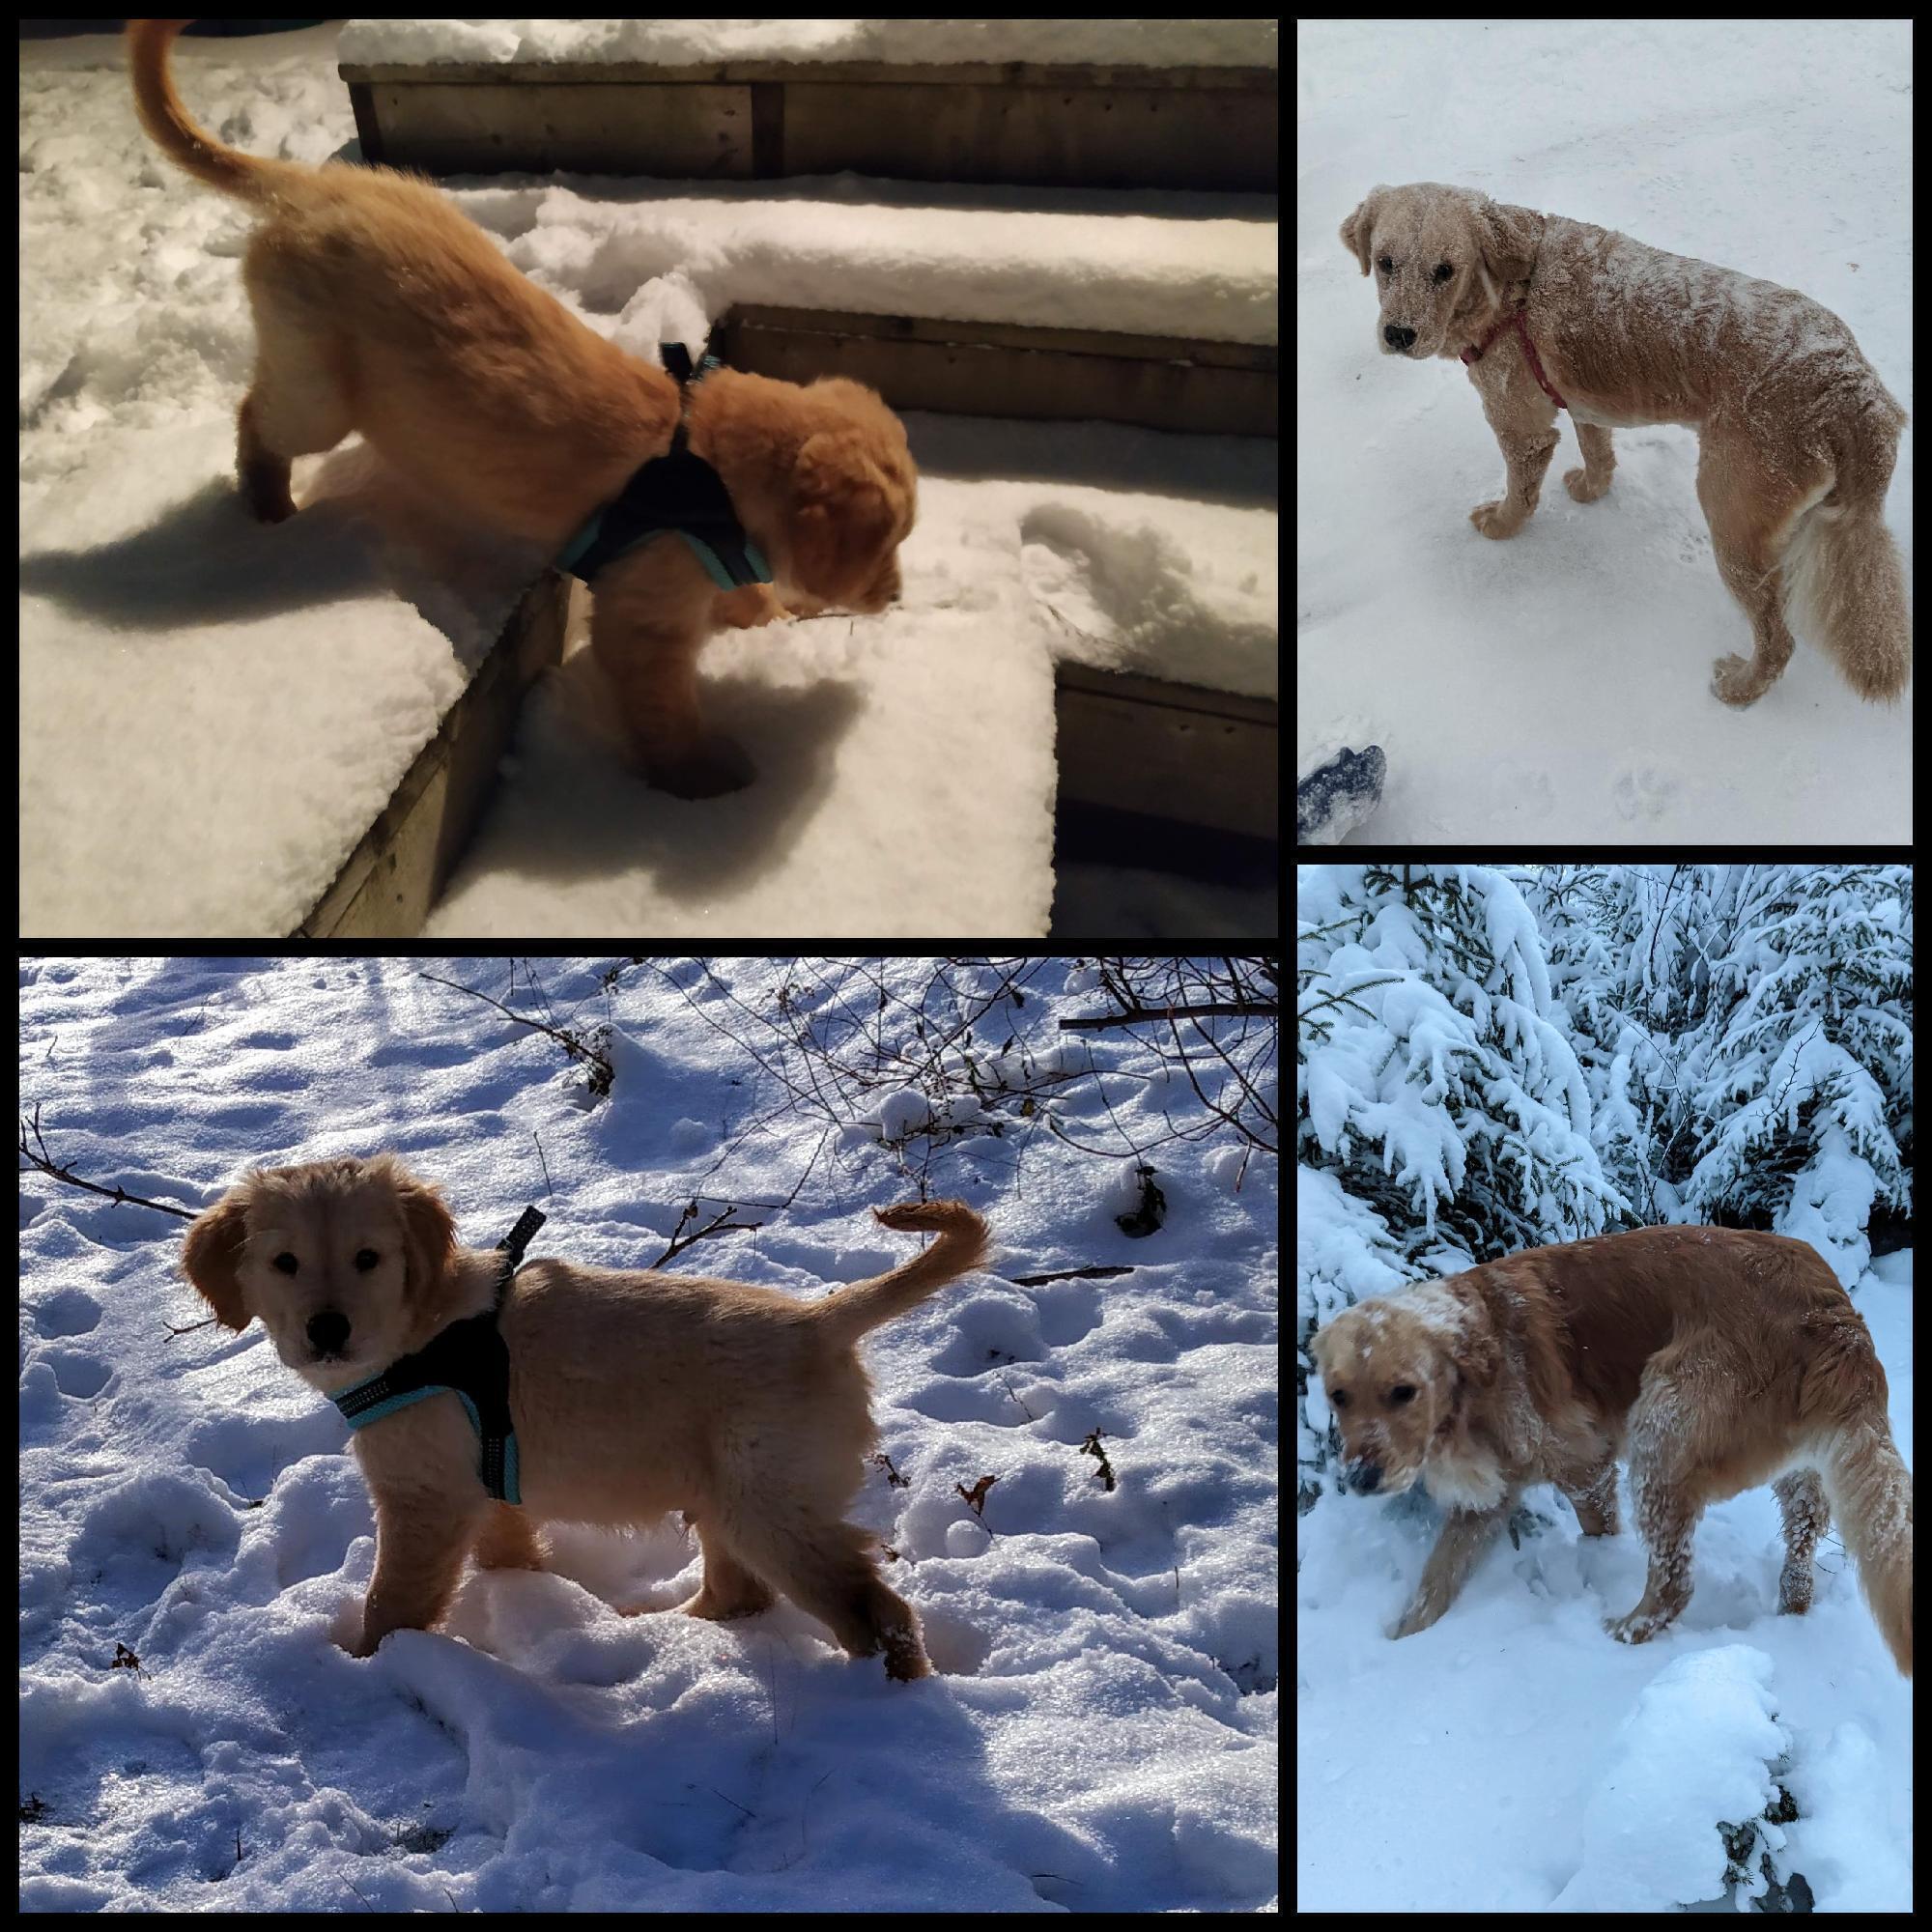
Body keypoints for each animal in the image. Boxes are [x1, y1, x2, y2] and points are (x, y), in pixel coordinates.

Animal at [127, 18, 912, 800]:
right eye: (888, 544)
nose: (898, 598)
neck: (708, 464)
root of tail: (314, 188)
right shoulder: (644, 617)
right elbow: (663, 707)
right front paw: (703, 781)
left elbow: (743, 590)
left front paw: (765, 615)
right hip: (315, 387)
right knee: (256, 422)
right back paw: (270, 512)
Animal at [180, 1151, 989, 1685]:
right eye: (285, 1263)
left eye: (368, 1258)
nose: (327, 1329)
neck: (422, 1333)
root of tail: (820, 1322)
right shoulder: (482, 1484)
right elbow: (506, 1548)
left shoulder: (422, 1499)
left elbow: (394, 1599)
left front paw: (366, 1667)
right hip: (726, 1494)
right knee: (741, 1594)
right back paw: (658, 1626)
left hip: (772, 1502)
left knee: (872, 1611)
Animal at [1314, 1229, 1917, 1669]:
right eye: (1337, 1396)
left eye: (1403, 1392)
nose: (1360, 1479)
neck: (1479, 1366)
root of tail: (1834, 1320)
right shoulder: (1484, 1504)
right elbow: (1433, 1585)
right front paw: (1402, 1644)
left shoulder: (1587, 1467)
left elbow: (1596, 1525)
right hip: (1796, 1472)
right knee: (1801, 1543)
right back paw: (1791, 1609)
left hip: (1661, 1430)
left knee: (1675, 1583)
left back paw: (1622, 1634)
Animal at [1337, 180, 1909, 711]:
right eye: (1386, 263)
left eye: (1445, 271)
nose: (1399, 334)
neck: (1513, 285)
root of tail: (1857, 388)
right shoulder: (1583, 404)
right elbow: (1598, 454)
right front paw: (1591, 490)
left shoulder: (1521, 431)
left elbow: (1521, 494)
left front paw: (1500, 527)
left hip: (1732, 519)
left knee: (1778, 639)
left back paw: (1741, 688)